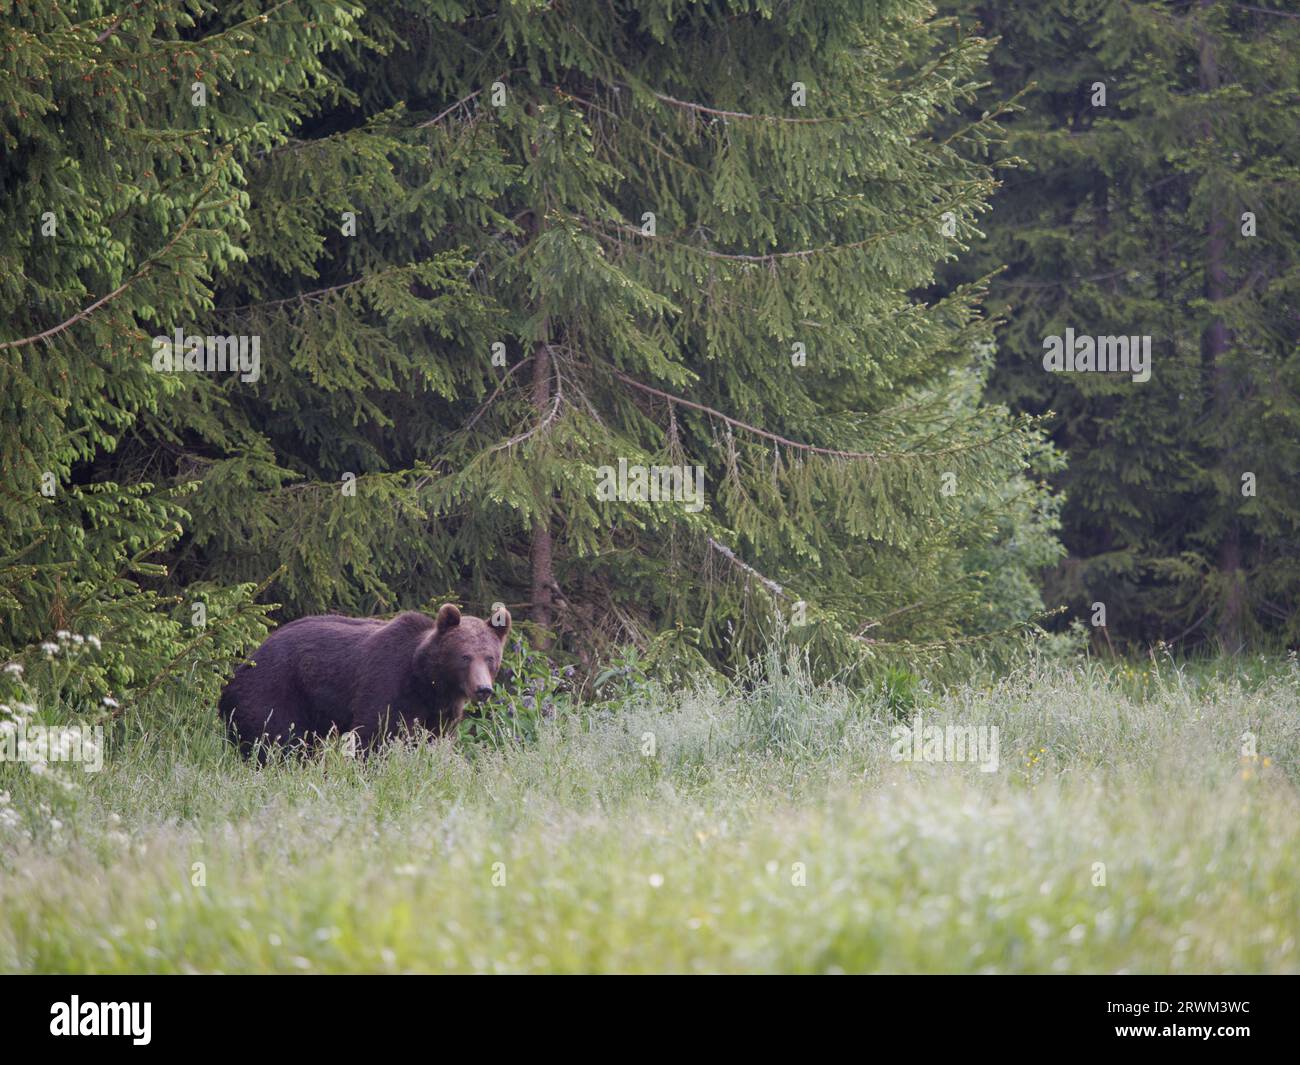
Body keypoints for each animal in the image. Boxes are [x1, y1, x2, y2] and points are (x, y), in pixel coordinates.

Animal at [220, 600, 509, 759]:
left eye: (490, 657)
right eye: (465, 656)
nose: (483, 689)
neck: (426, 681)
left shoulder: (440, 711)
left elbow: (433, 740)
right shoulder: (389, 683)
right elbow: (377, 734)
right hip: (273, 690)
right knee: (279, 742)